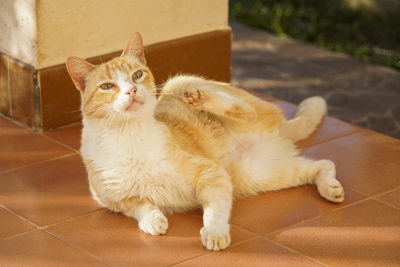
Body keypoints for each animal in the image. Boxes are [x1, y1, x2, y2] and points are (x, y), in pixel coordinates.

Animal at [67, 33, 346, 251]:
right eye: (107, 86)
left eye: (137, 75)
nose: (132, 91)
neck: (130, 138)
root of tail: (279, 130)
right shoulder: (111, 199)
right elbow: (139, 205)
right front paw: (153, 220)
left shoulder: (211, 173)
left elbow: (215, 210)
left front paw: (214, 232)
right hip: (261, 174)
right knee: (322, 164)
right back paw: (330, 188)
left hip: (180, 84)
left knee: (247, 111)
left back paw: (200, 98)